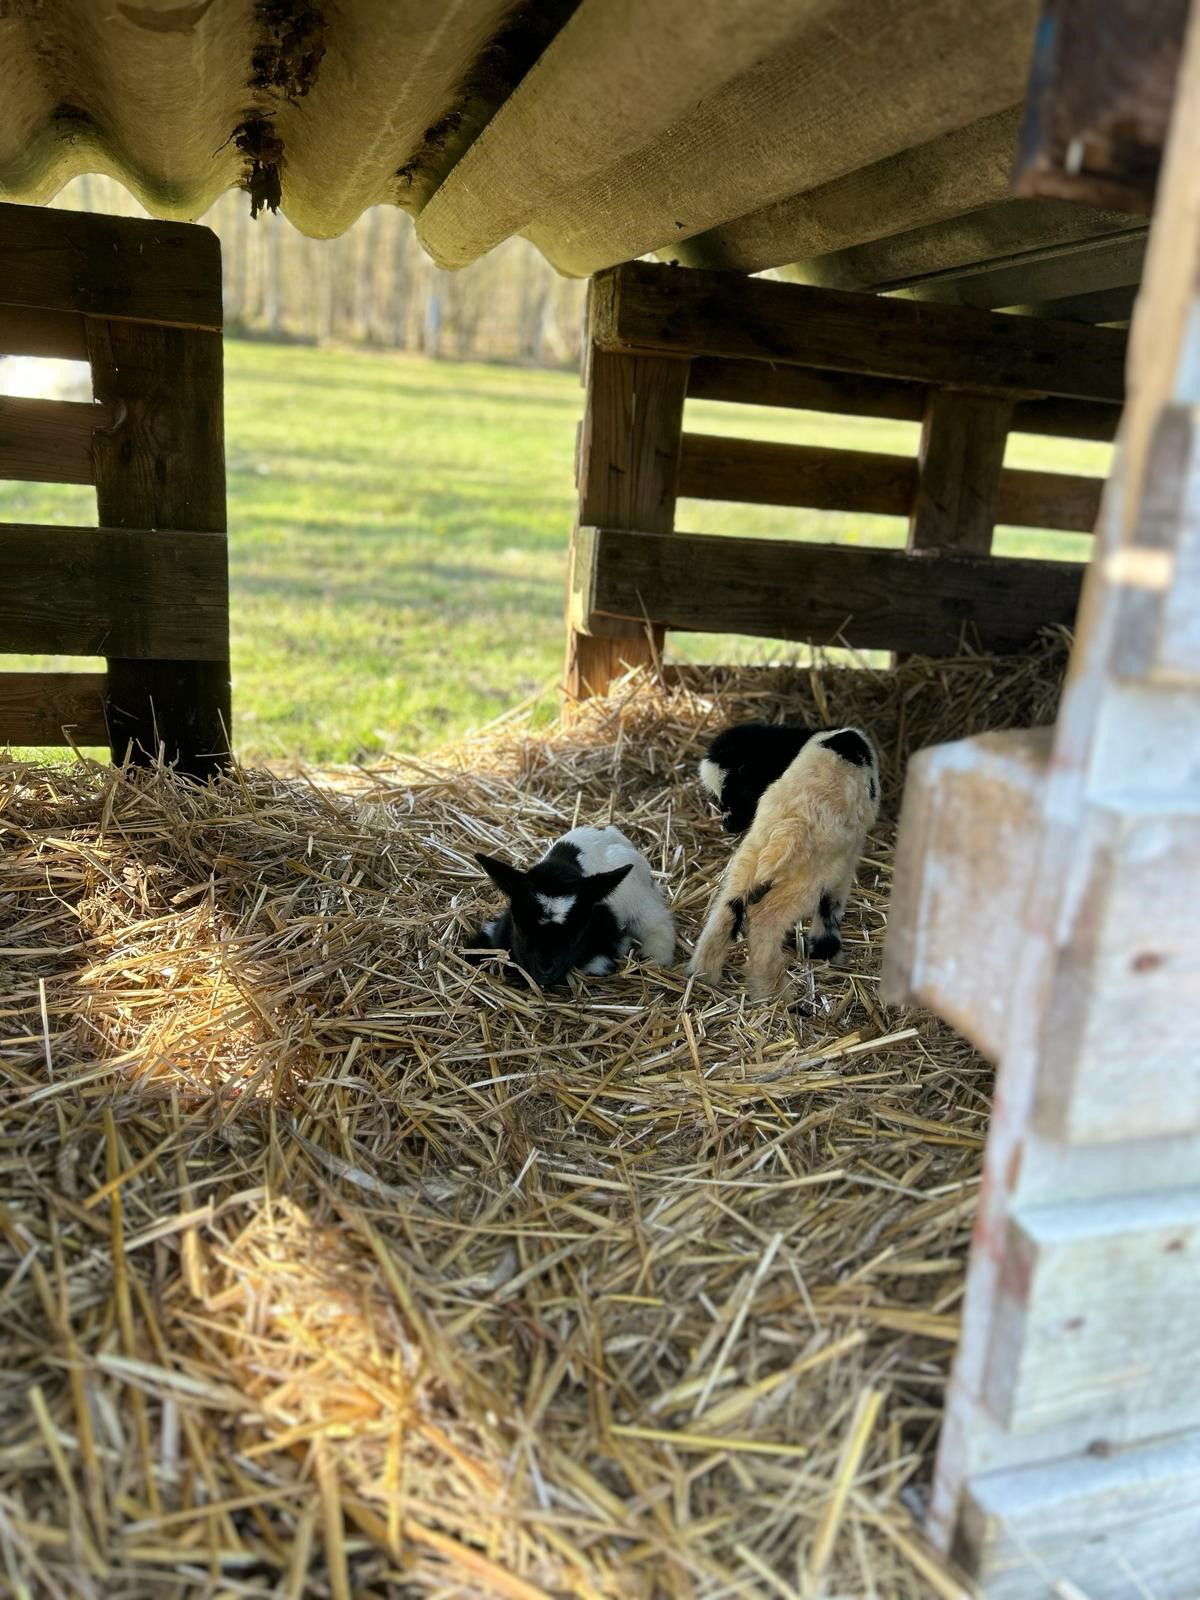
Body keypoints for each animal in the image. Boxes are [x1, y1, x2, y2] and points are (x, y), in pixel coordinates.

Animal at [469, 825, 675, 988]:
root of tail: (610, 832)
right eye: (520, 928)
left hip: (642, 901)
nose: (544, 971)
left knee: (660, 924)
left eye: (577, 936)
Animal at [687, 727, 880, 999]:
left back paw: (703, 976)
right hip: (808, 878)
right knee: (766, 918)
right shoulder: (848, 857)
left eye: (734, 793)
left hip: (750, 857)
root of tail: (792, 824)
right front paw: (826, 952)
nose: (726, 825)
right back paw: (773, 992)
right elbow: (832, 905)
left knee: (726, 909)